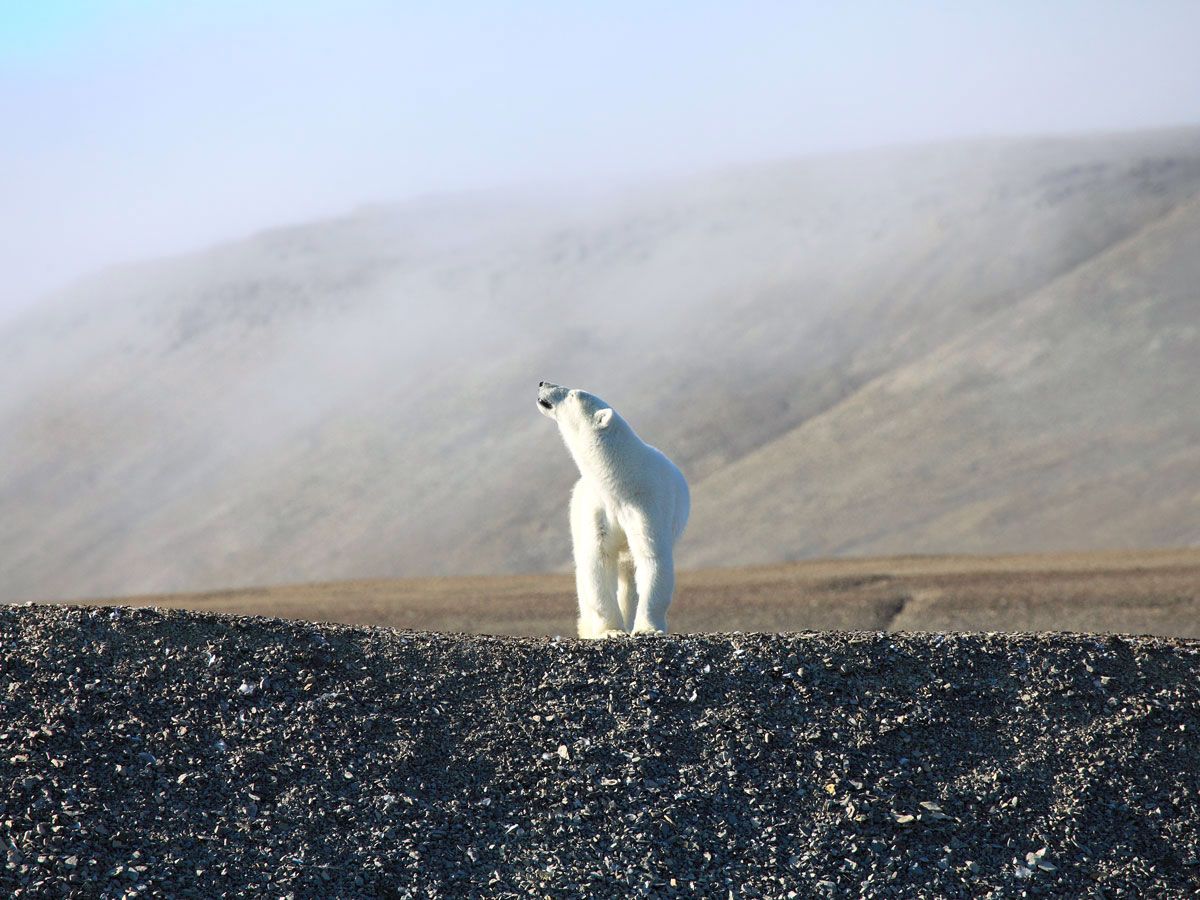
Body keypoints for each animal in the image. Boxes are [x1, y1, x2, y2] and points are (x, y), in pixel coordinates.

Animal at [536, 381, 690, 638]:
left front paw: (647, 628)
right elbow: (598, 558)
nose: (542, 383)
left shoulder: (648, 504)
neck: (621, 481)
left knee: (628, 574)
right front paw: (611, 630)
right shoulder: (598, 508)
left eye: (573, 394)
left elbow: (651, 557)